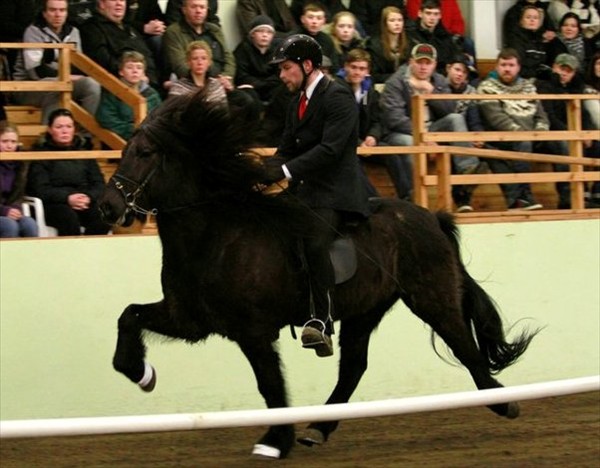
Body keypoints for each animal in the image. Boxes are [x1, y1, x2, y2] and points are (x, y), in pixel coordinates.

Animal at [99, 89, 537, 459]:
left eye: (144, 152)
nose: (106, 207)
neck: (215, 234)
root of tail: (431, 216)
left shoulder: (253, 330)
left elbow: (270, 384)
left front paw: (275, 440)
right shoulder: (190, 318)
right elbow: (128, 316)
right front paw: (142, 374)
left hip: (431, 296)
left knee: (464, 347)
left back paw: (503, 403)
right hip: (365, 310)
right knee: (354, 368)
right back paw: (317, 429)